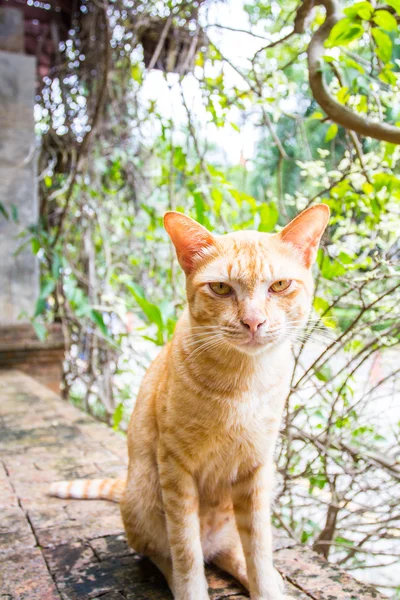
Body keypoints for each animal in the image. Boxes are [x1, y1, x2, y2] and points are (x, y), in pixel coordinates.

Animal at [50, 204, 330, 596]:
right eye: (221, 288)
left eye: (279, 285)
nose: (253, 322)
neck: (243, 381)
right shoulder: (175, 468)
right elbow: (185, 550)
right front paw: (191, 590)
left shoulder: (257, 469)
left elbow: (259, 545)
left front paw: (266, 589)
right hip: (142, 503)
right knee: (165, 552)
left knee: (231, 551)